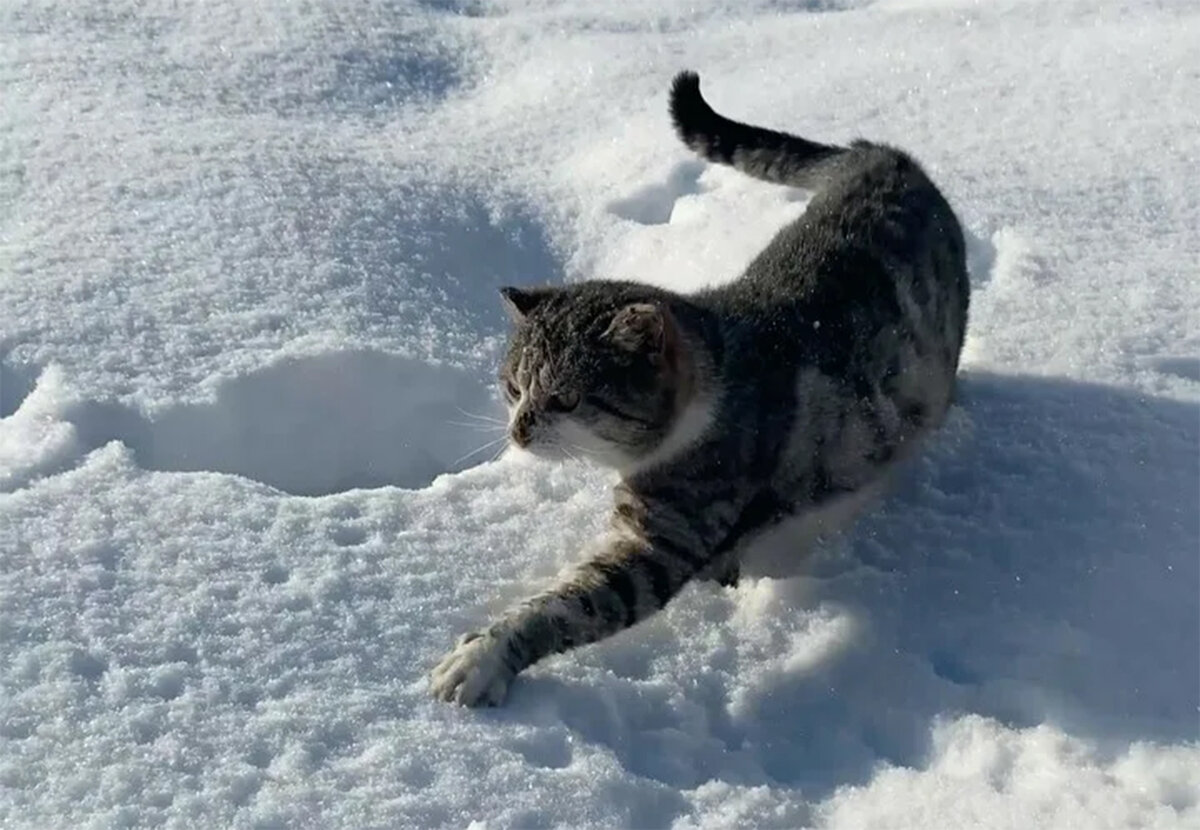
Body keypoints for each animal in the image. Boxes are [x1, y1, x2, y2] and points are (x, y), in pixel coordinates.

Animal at [427, 69, 969, 705]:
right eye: (512, 388)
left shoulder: (670, 528)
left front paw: (482, 657)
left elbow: (570, 605)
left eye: (565, 398)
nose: (518, 431)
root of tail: (883, 157)